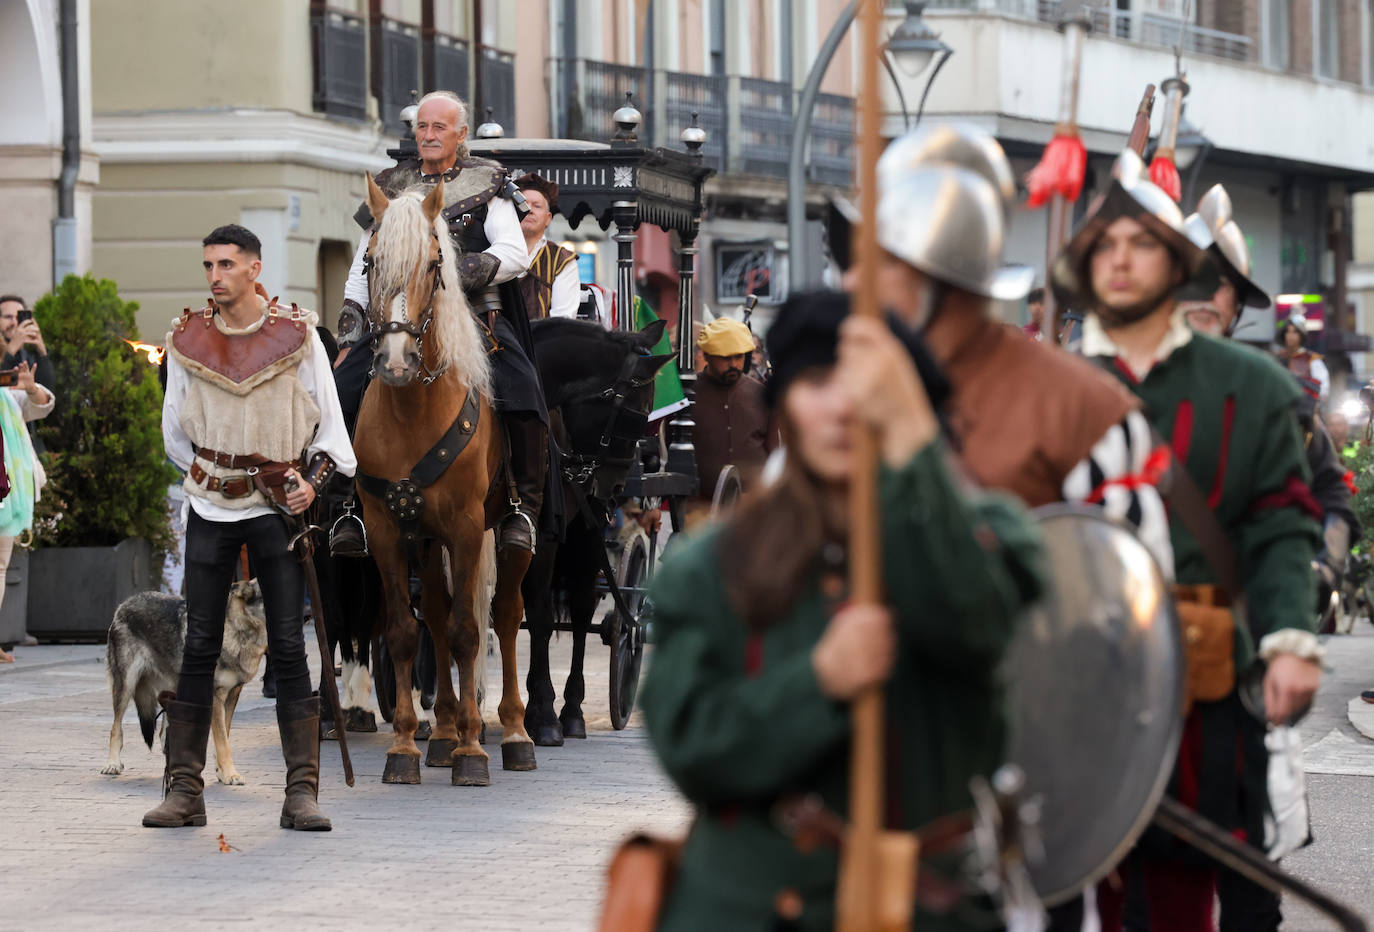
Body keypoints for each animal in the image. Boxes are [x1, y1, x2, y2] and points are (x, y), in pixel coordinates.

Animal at [102, 582, 267, 786]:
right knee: (115, 728)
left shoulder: (232, 695)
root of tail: (125, 602)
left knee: (162, 733)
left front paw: (222, 773)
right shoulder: (216, 698)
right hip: (126, 686)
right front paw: (230, 774)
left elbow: (223, 739)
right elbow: (223, 744)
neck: (238, 632)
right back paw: (113, 764)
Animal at [348, 177, 530, 786]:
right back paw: (445, 732)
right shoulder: (387, 531)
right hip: (425, 539)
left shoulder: (469, 528)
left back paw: (514, 733)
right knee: (435, 614)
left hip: (508, 533)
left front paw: (474, 752)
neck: (413, 407)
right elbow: (408, 633)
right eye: (371, 261)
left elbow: (469, 631)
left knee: (506, 615)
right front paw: (405, 745)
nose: (396, 360)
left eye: (433, 264)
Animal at [519, 317, 670, 747]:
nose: (616, 487)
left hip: (585, 537)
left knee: (584, 611)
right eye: (636, 414)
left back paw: (570, 713)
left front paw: (544, 714)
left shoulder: (542, 540)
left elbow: (539, 617)